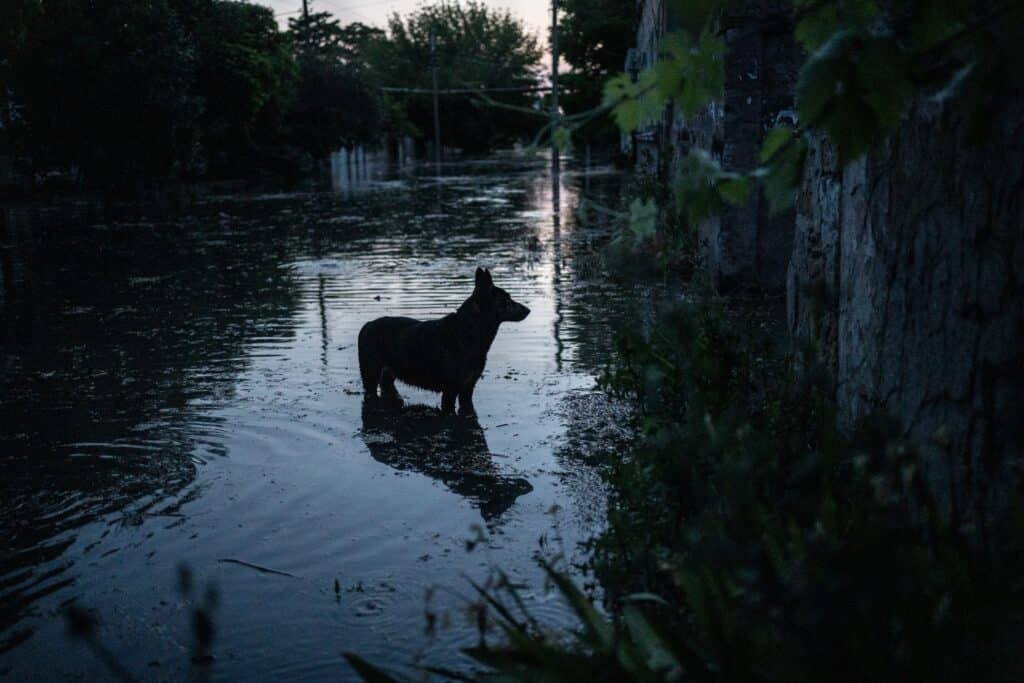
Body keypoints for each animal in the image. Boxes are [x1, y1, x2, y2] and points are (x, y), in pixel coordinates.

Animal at [358, 268, 528, 413]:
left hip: (388, 376)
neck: (469, 331)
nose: (528, 310)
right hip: (370, 376)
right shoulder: (450, 390)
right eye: (506, 300)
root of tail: (367, 325)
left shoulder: (467, 389)